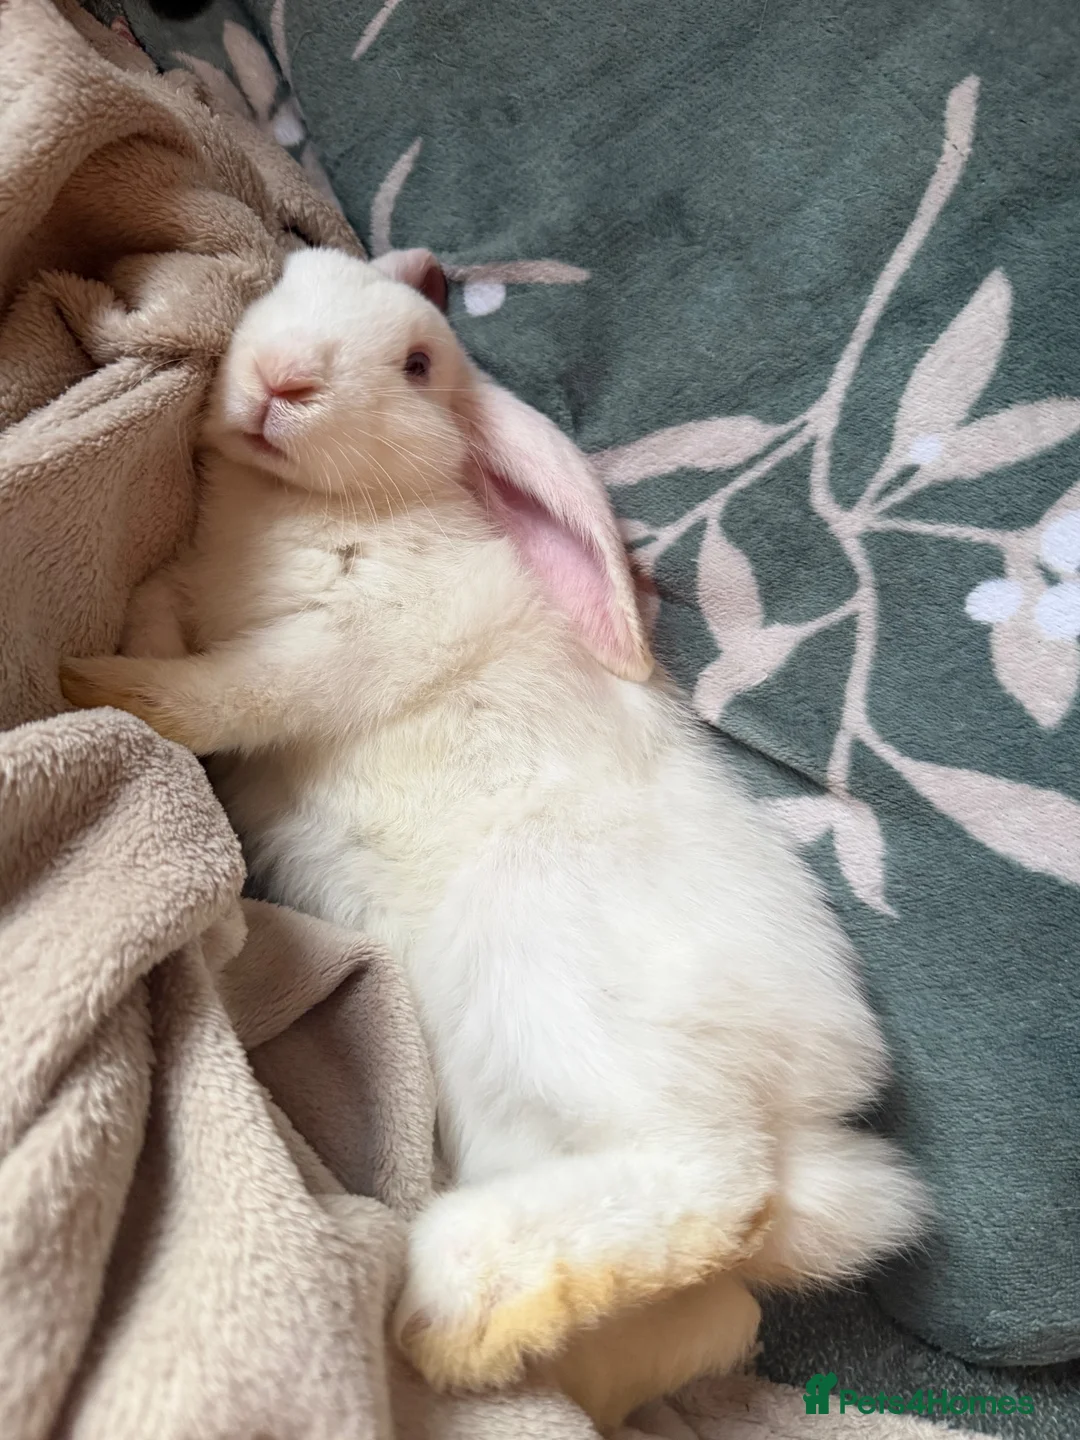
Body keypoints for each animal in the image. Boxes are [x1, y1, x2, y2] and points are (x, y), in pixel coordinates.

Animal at [61, 245, 927, 1432]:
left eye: (419, 364)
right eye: (293, 278)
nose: (283, 380)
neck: (302, 504)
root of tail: (819, 1140)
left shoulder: (341, 644)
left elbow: (233, 691)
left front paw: (103, 684)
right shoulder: (203, 594)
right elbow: (164, 610)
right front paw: (125, 650)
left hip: (553, 989)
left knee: (716, 1183)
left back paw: (447, 1315)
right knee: (721, 1310)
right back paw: (539, 1356)